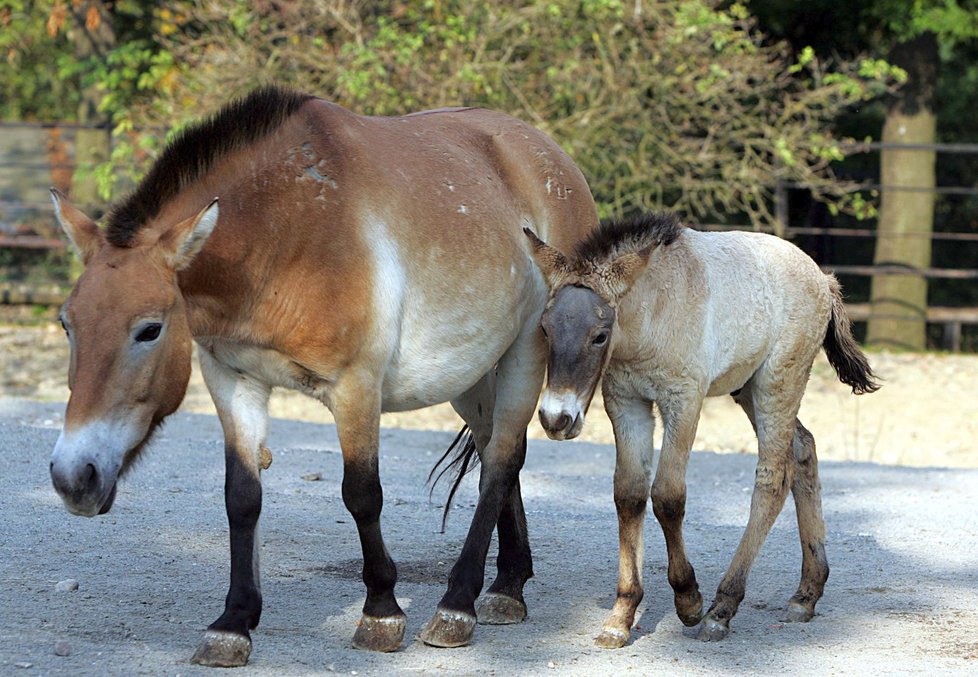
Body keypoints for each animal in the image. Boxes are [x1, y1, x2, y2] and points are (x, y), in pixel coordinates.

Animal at [47, 86, 596, 664]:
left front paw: (381, 613)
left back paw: (457, 606)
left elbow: (362, 495)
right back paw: (507, 587)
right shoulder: (232, 379)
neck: (287, 231)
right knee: (498, 455)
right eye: (67, 323)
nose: (73, 477)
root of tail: (551, 157)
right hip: (471, 376)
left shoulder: (356, 387)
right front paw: (233, 623)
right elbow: (241, 498)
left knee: (501, 462)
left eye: (149, 330)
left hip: (524, 355)